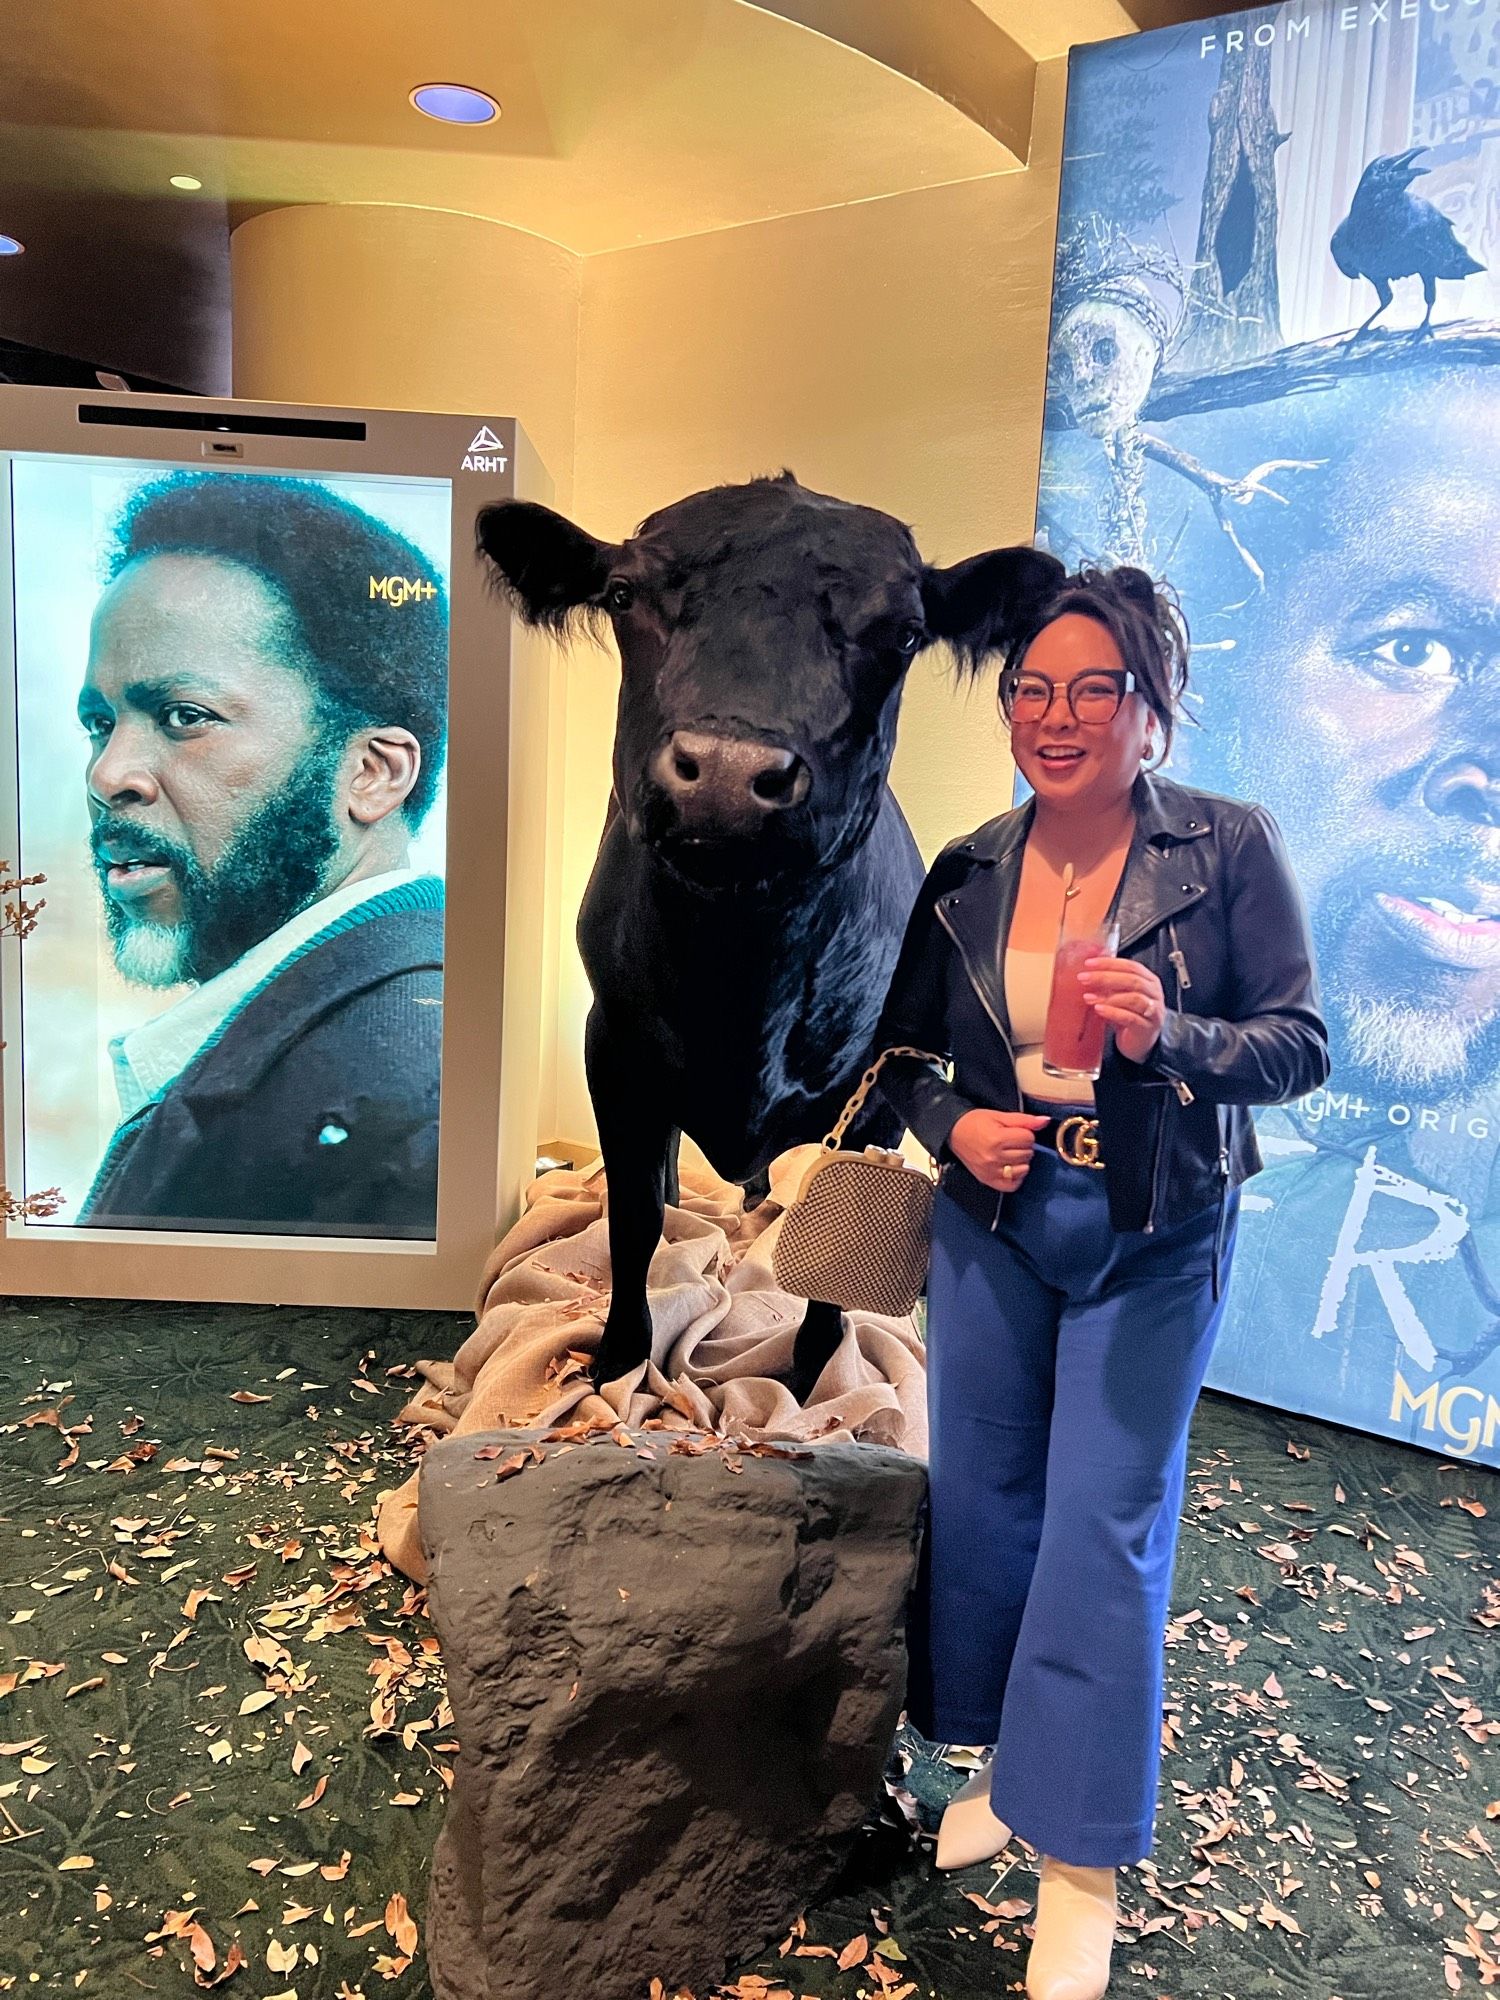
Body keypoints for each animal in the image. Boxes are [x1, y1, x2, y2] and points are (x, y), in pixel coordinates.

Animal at [478, 476, 1056, 1400]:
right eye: (623, 594)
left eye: (902, 632)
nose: (725, 774)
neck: (742, 984)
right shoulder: (615, 1048)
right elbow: (633, 1218)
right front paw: (617, 1357)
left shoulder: (881, 1087)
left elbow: (837, 1263)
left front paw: (815, 1371)